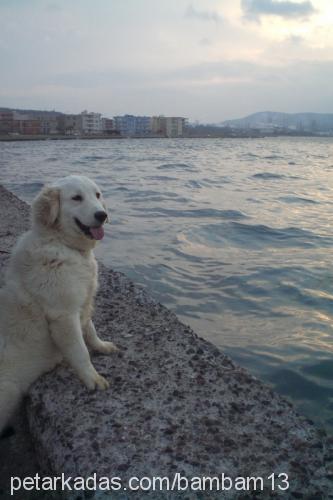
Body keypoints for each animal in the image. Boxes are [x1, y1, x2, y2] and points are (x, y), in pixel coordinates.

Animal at [0, 174, 117, 432]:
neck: (64, 246)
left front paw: (102, 346)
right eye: (76, 198)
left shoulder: (82, 302)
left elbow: (90, 330)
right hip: (8, 390)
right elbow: (80, 350)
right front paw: (92, 378)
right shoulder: (63, 314)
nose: (102, 215)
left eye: (97, 195)